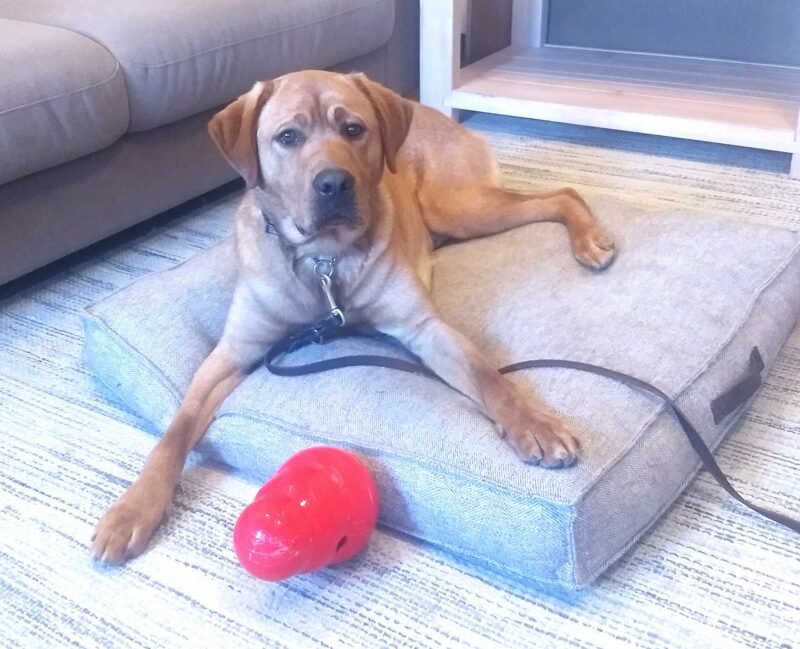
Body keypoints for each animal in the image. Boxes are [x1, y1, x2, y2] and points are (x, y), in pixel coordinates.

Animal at [94, 69, 616, 560]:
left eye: (353, 129)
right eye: (288, 137)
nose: (334, 183)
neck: (323, 259)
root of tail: (430, 110)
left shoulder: (424, 328)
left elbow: (491, 378)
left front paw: (534, 424)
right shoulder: (233, 352)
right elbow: (175, 431)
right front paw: (133, 508)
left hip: (458, 206)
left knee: (561, 194)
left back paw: (590, 240)